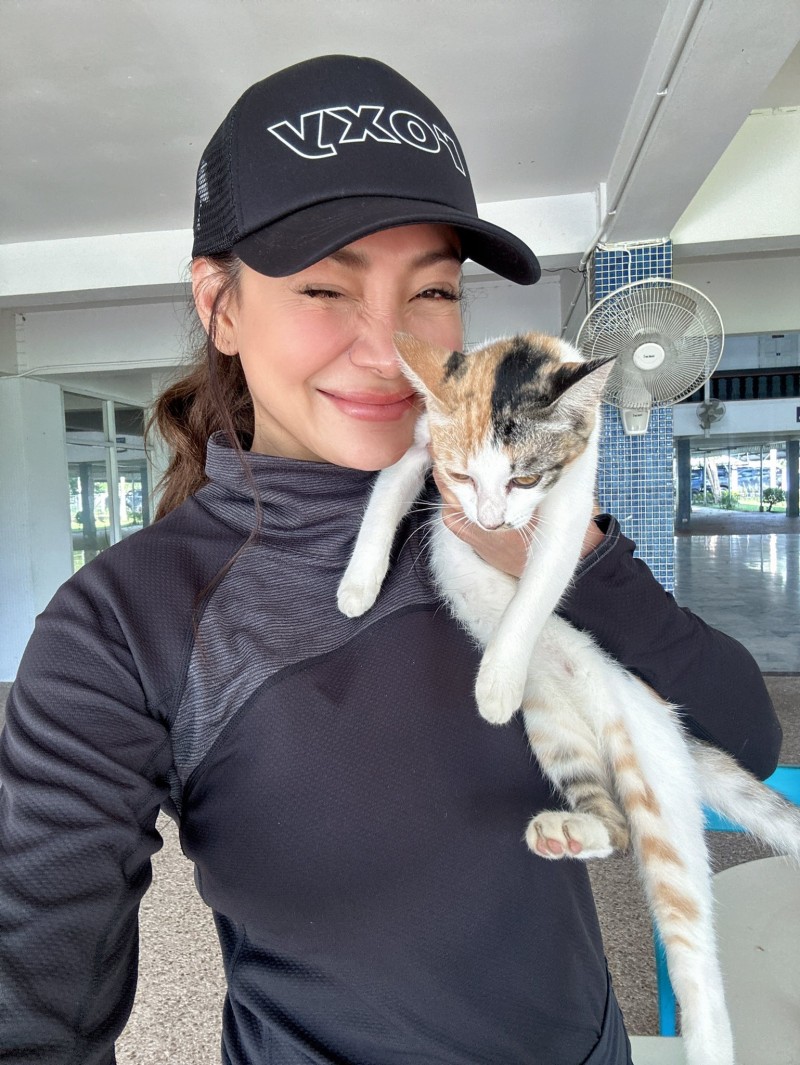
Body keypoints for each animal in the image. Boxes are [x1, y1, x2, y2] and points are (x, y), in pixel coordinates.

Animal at [337, 331, 800, 1065]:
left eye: (523, 479)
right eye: (464, 478)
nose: (490, 519)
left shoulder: (569, 506)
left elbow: (537, 586)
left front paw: (495, 679)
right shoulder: (421, 451)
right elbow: (386, 493)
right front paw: (357, 586)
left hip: (661, 800)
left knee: (699, 966)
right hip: (555, 724)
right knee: (611, 822)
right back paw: (571, 830)